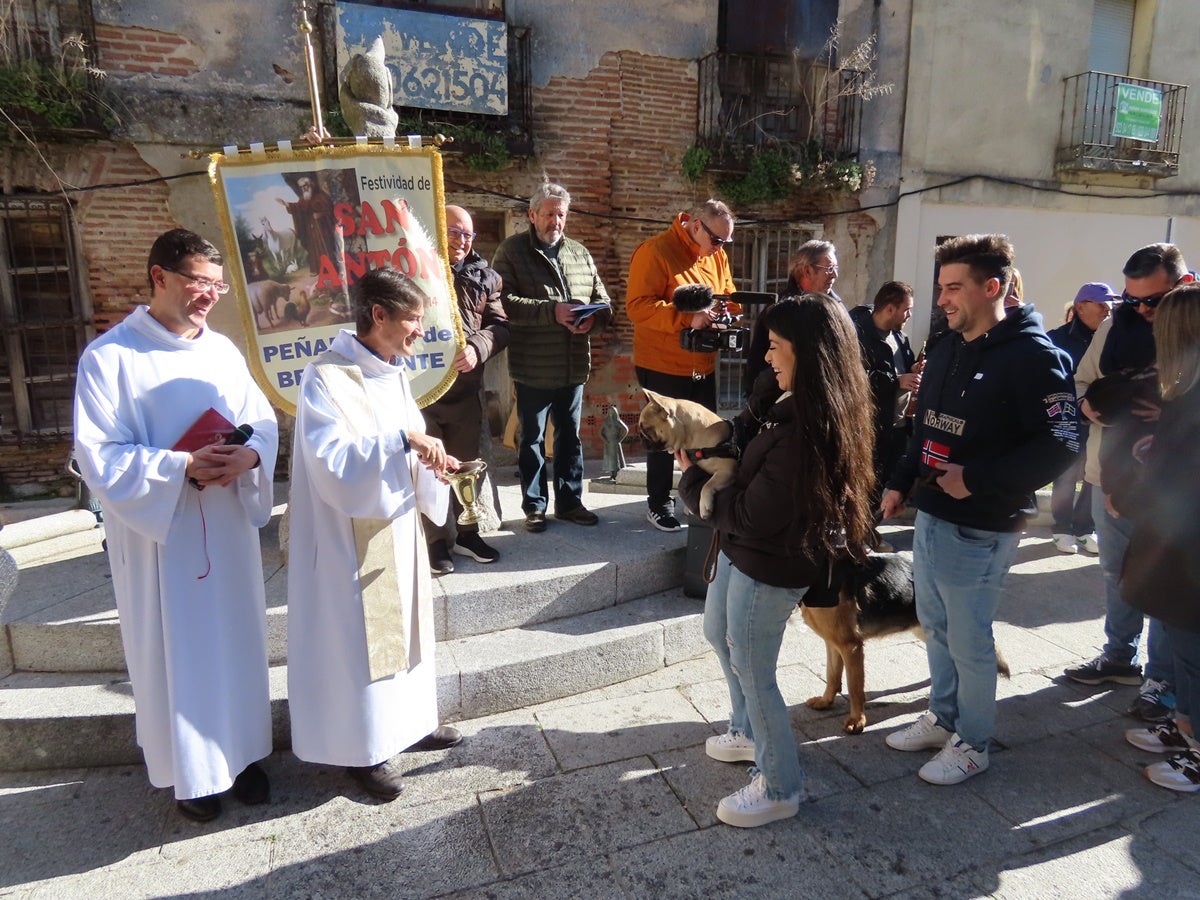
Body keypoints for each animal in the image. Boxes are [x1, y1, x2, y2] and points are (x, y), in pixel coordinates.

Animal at [801, 554, 1008, 734]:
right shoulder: (833, 643)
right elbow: (832, 675)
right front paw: (826, 701)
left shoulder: (851, 647)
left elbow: (854, 687)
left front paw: (857, 720)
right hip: (925, 629)